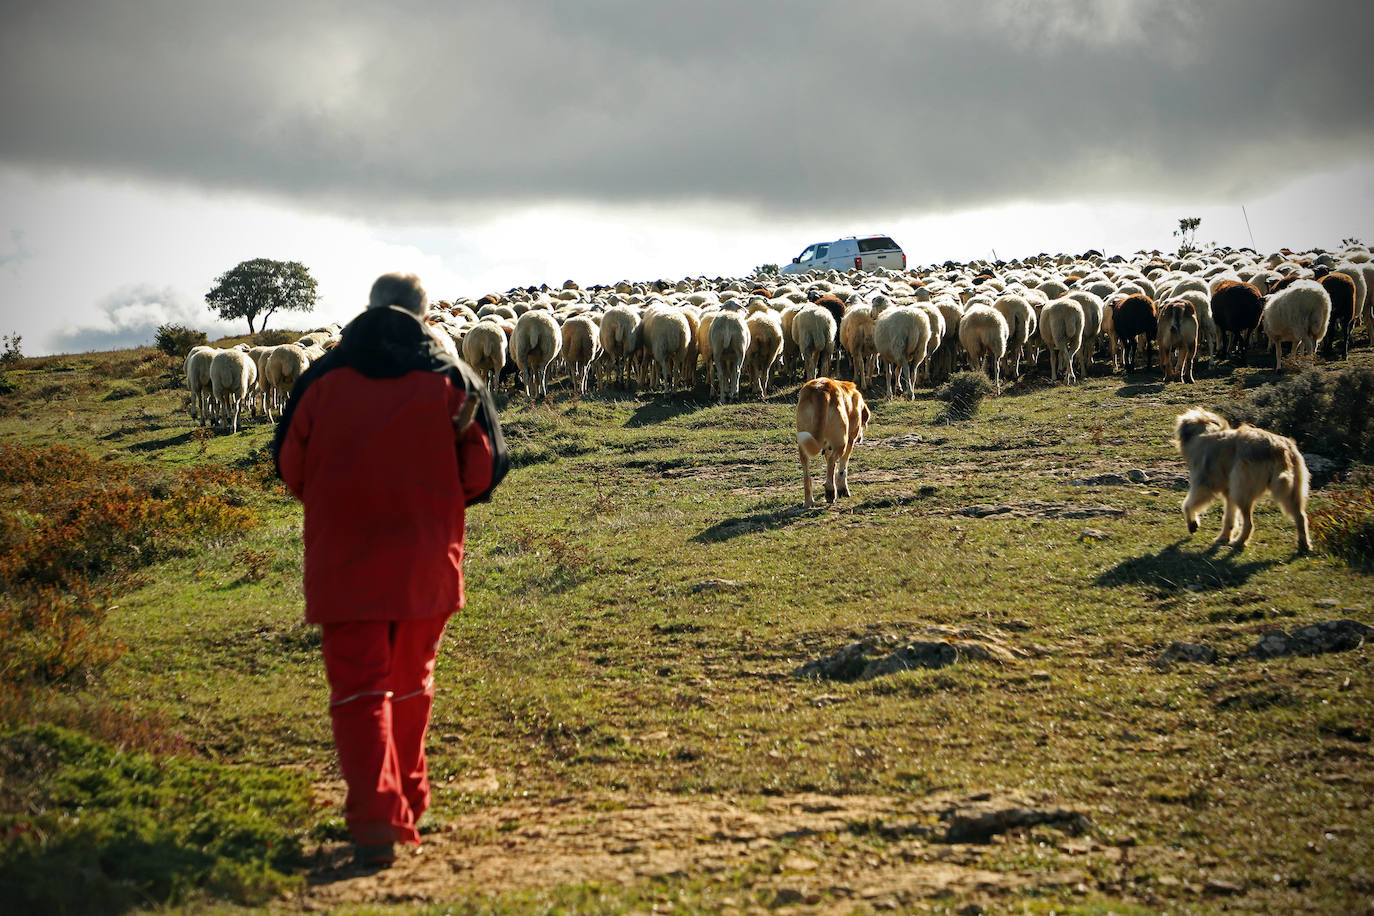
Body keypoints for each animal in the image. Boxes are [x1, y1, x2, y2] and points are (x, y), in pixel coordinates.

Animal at [796, 379, 868, 508]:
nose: (860, 438)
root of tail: (821, 391)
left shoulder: (828, 448)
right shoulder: (849, 441)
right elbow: (842, 468)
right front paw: (842, 489)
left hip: (803, 442)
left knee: (807, 474)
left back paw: (809, 501)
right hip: (842, 443)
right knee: (832, 462)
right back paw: (830, 492)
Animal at [1170, 411, 1308, 554]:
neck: (1203, 433)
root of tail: (1279, 448)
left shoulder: (1204, 483)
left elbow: (1188, 505)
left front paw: (1192, 524)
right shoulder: (1229, 492)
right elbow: (1229, 517)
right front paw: (1223, 537)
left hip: (1242, 488)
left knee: (1249, 523)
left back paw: (1240, 541)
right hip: (1291, 488)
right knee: (1301, 516)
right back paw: (1304, 545)